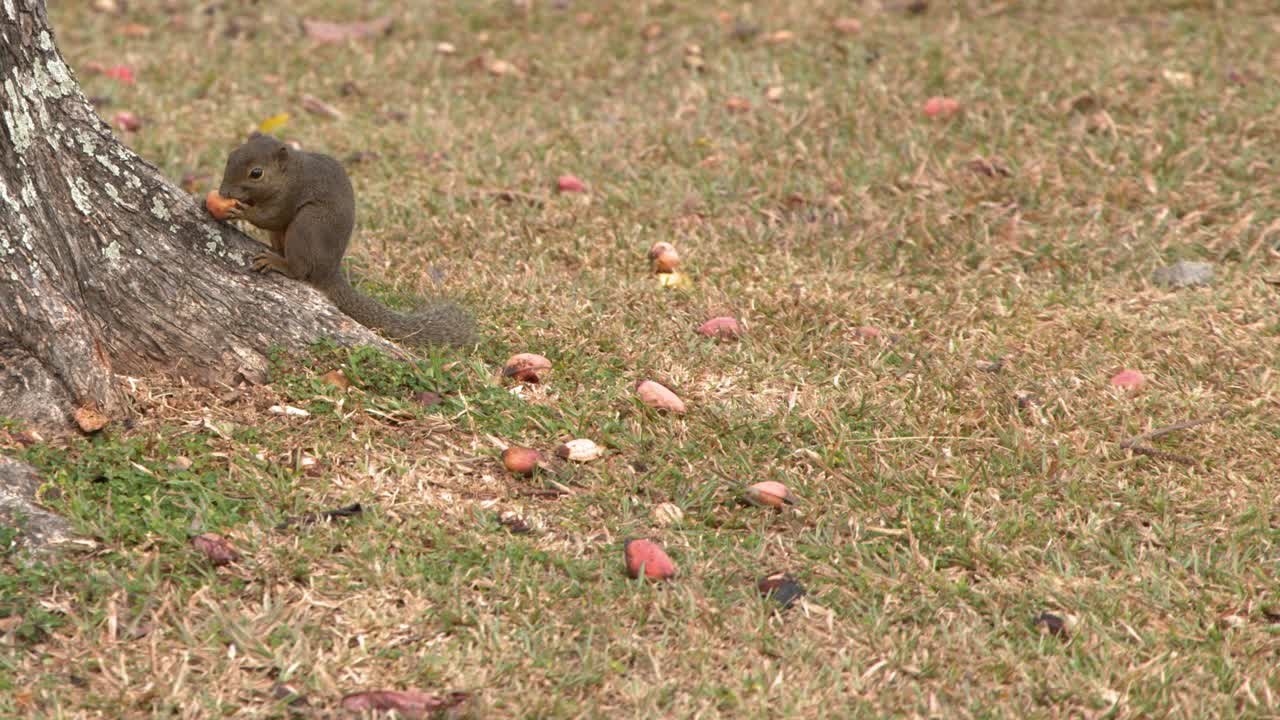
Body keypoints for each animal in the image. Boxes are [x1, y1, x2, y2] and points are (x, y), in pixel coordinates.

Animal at [216, 132, 475, 348]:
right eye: (231, 156)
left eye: (256, 173)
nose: (223, 193)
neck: (290, 174)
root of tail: (329, 272)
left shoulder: (289, 195)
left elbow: (270, 217)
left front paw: (241, 211)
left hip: (307, 224)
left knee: (300, 269)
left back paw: (278, 262)